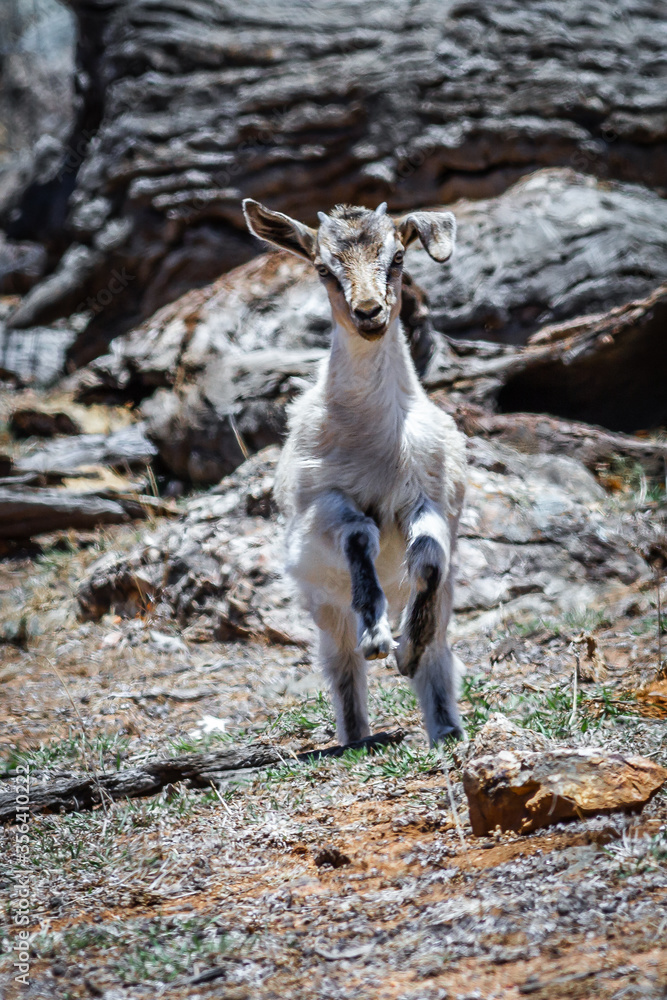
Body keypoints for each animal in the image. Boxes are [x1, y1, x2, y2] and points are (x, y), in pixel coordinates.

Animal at [243, 199, 466, 745]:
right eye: (323, 268)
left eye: (398, 258)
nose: (369, 312)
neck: (376, 439)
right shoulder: (319, 508)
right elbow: (360, 535)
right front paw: (377, 635)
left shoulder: (428, 496)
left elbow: (430, 559)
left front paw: (407, 649)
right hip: (323, 602)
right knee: (340, 663)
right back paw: (355, 735)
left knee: (441, 652)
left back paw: (446, 728)